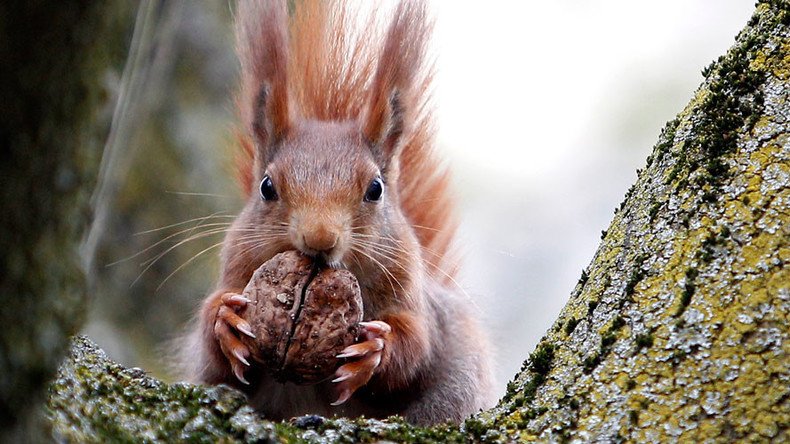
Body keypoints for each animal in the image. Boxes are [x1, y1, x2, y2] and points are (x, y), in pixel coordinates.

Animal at [180, 0, 495, 425]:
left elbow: (415, 346)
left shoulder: (413, 297)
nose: (319, 238)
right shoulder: (237, 267)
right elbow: (213, 355)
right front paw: (224, 321)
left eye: (375, 189)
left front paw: (374, 350)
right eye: (266, 187)